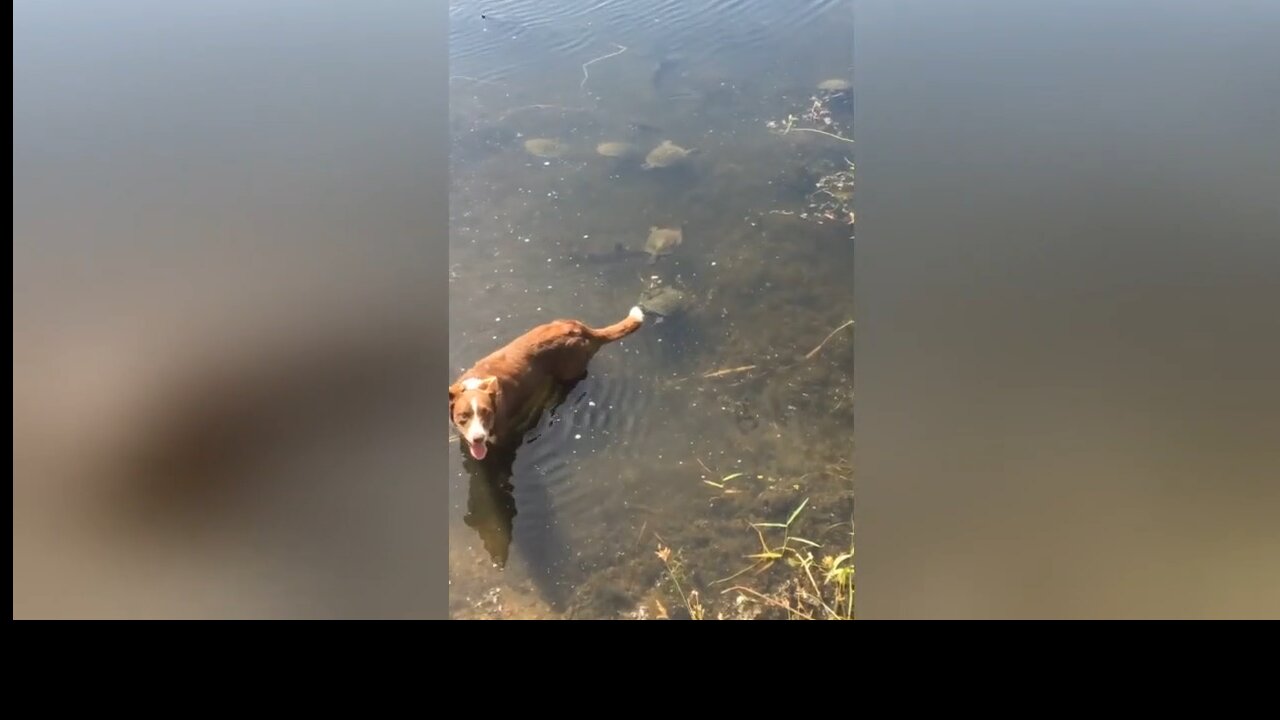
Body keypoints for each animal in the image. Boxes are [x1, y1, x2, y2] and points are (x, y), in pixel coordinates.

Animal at [453, 303, 650, 458]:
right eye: (463, 416)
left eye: (486, 413)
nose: (478, 438)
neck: (476, 383)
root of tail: (583, 330)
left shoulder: (503, 438)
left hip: (568, 372)